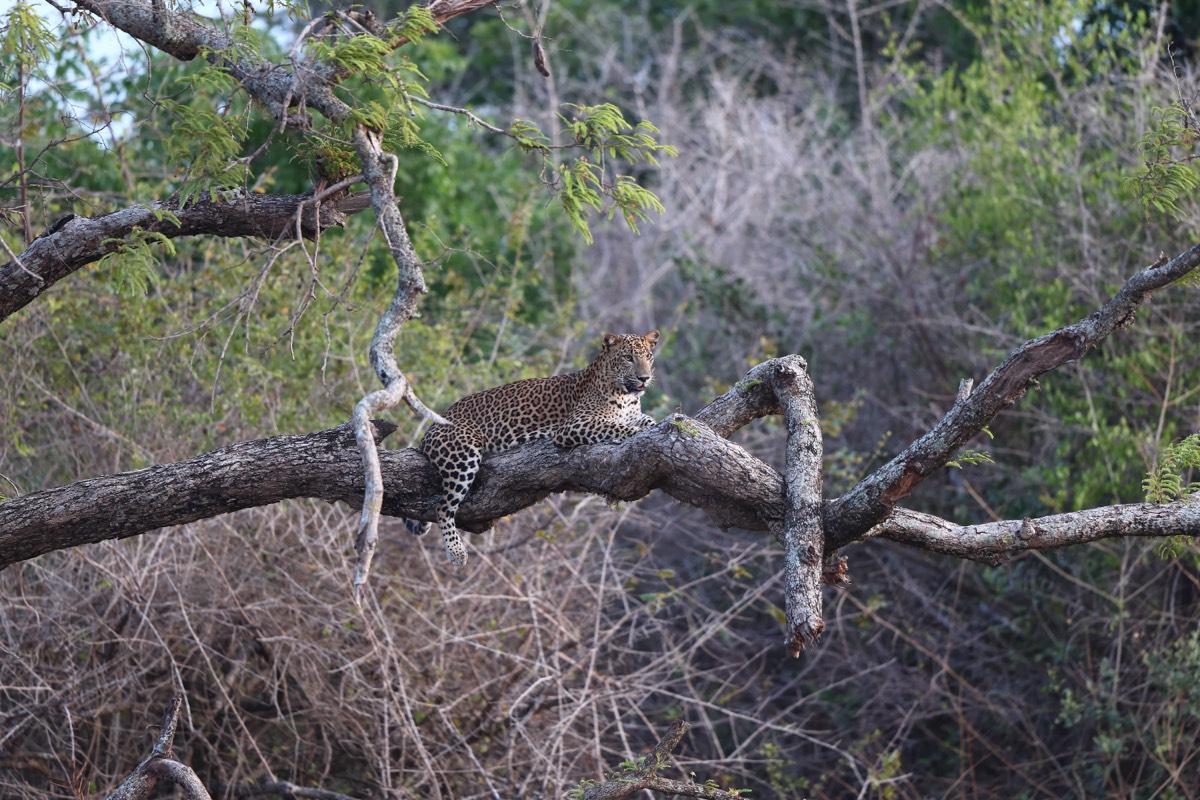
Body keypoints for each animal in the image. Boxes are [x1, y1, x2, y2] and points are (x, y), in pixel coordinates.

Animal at [407, 329, 661, 566]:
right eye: (628, 358)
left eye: (648, 357)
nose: (644, 378)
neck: (626, 396)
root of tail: (428, 431)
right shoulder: (574, 425)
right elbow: (617, 427)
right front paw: (637, 433)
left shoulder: (634, 415)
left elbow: (649, 421)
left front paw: (655, 427)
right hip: (463, 453)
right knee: (443, 507)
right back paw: (456, 552)